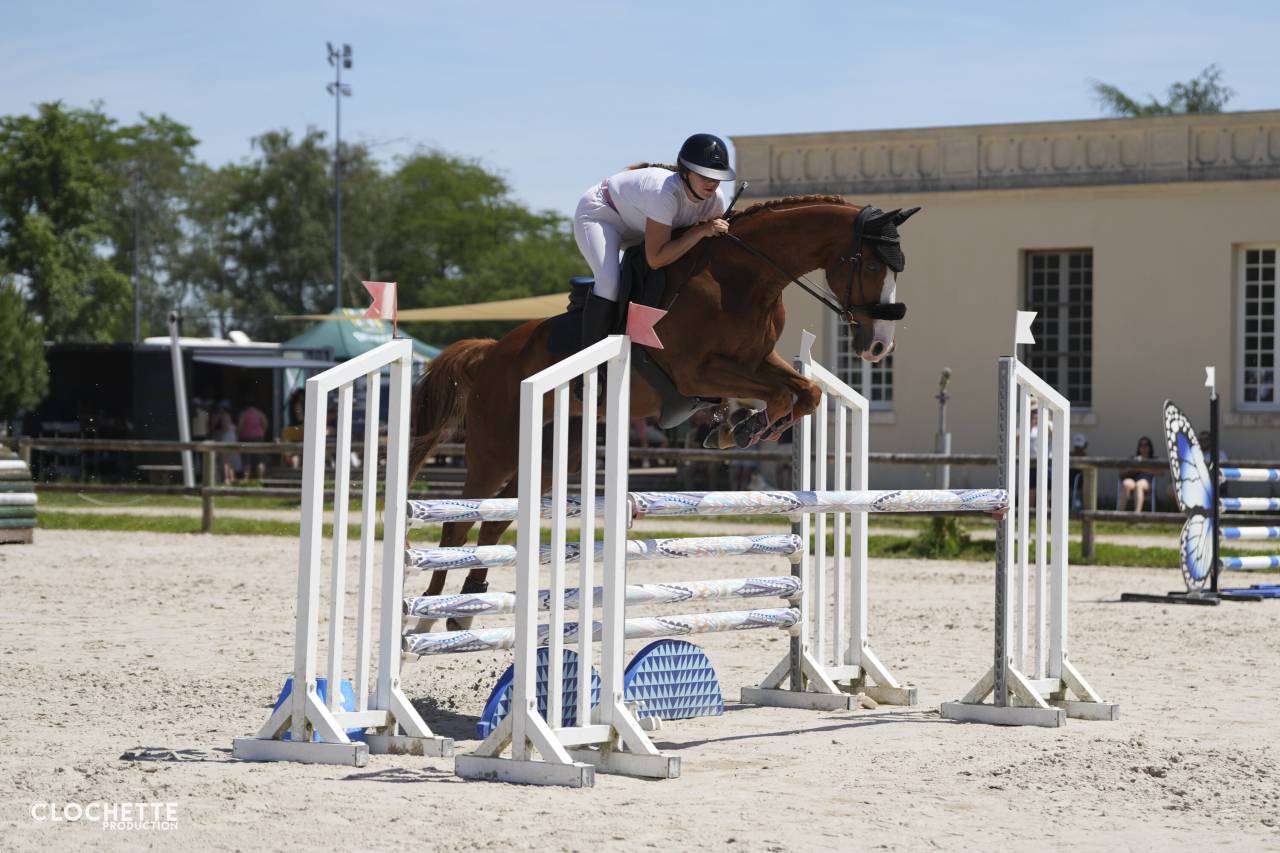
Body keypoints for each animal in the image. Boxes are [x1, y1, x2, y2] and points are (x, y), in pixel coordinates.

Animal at [407, 195, 919, 611]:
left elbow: (805, 392)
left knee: (497, 522)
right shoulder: (694, 373)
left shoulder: (757, 360)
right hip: (495, 449)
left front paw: (742, 428)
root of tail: (491, 351)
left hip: (557, 452)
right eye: (871, 266)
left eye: (898, 269)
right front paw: (742, 428)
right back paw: (431, 609)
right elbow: (779, 393)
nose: (879, 346)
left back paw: (467, 604)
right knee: (458, 525)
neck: (744, 276)